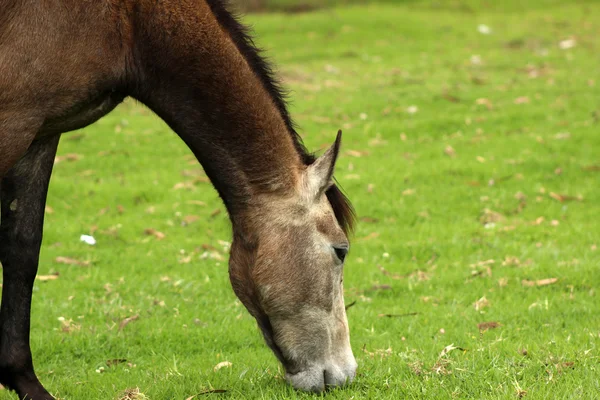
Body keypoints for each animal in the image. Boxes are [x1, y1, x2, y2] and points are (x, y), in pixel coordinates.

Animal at [0, 0, 356, 400]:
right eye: (340, 251)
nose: (346, 373)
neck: (132, 23)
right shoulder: (13, 121)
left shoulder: (42, 130)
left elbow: (22, 250)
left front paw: (24, 380)